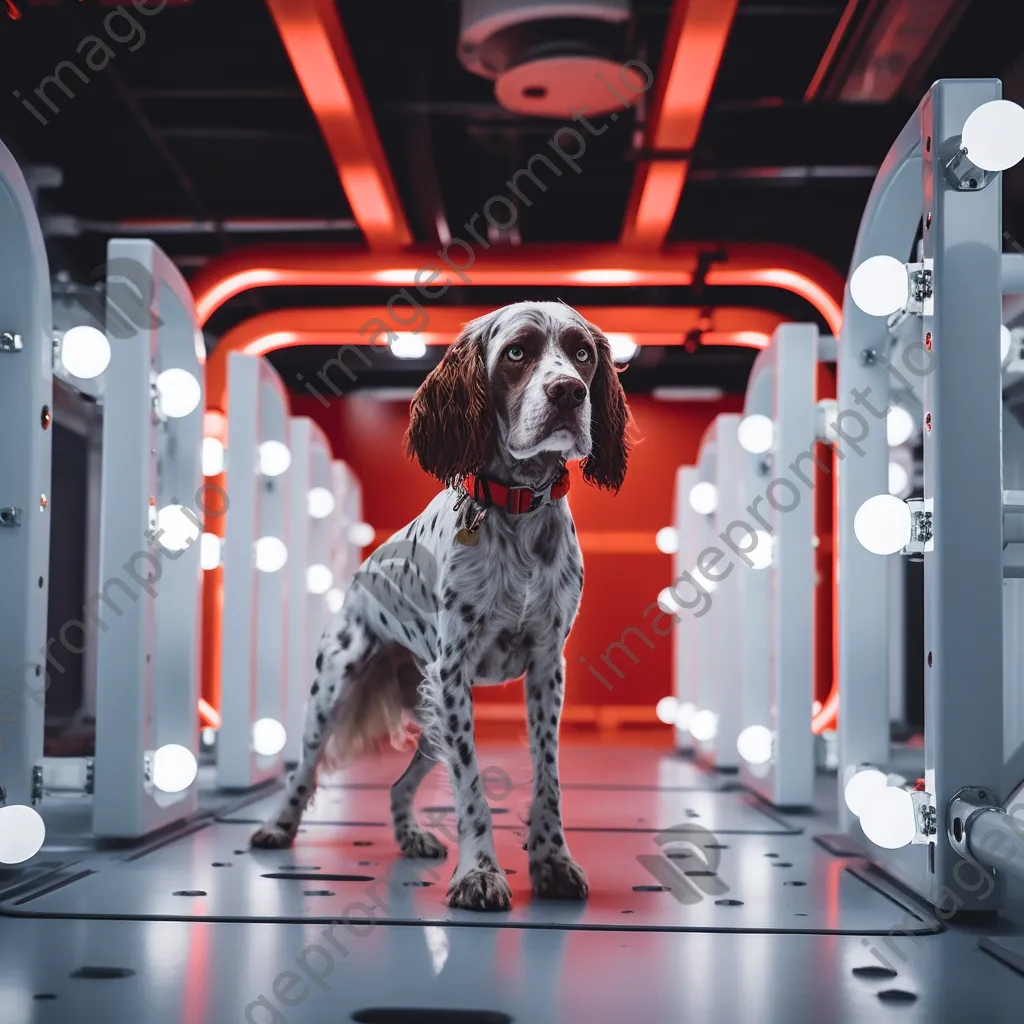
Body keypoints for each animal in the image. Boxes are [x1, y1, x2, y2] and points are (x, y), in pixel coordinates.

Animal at [251, 299, 626, 909]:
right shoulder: (453, 672)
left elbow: (547, 776)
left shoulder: (546, 667)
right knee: (302, 772)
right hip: (336, 692)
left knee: (399, 787)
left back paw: (411, 835)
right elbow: (471, 788)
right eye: (517, 352)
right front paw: (479, 875)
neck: (515, 505)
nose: (569, 393)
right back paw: (276, 827)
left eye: (583, 353)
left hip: (433, 718)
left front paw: (552, 862)